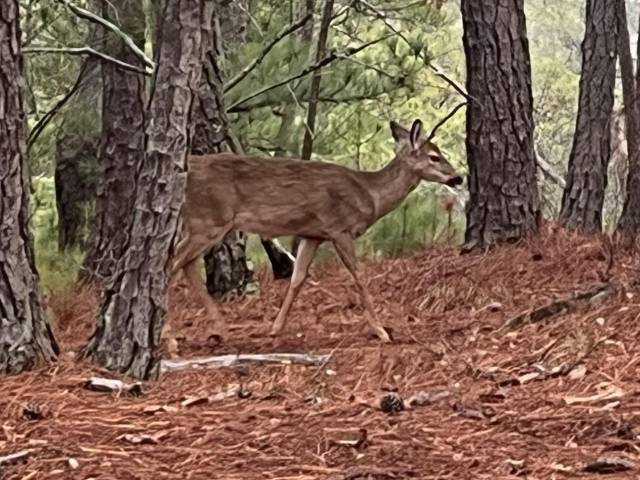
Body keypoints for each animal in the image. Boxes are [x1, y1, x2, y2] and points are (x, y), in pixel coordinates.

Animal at [171, 119, 463, 343]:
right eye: (435, 156)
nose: (458, 177)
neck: (370, 194)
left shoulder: (313, 235)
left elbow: (297, 278)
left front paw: (275, 328)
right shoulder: (340, 229)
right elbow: (358, 276)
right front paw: (382, 332)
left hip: (206, 224)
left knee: (185, 264)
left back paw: (219, 330)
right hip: (209, 219)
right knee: (173, 263)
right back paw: (172, 341)